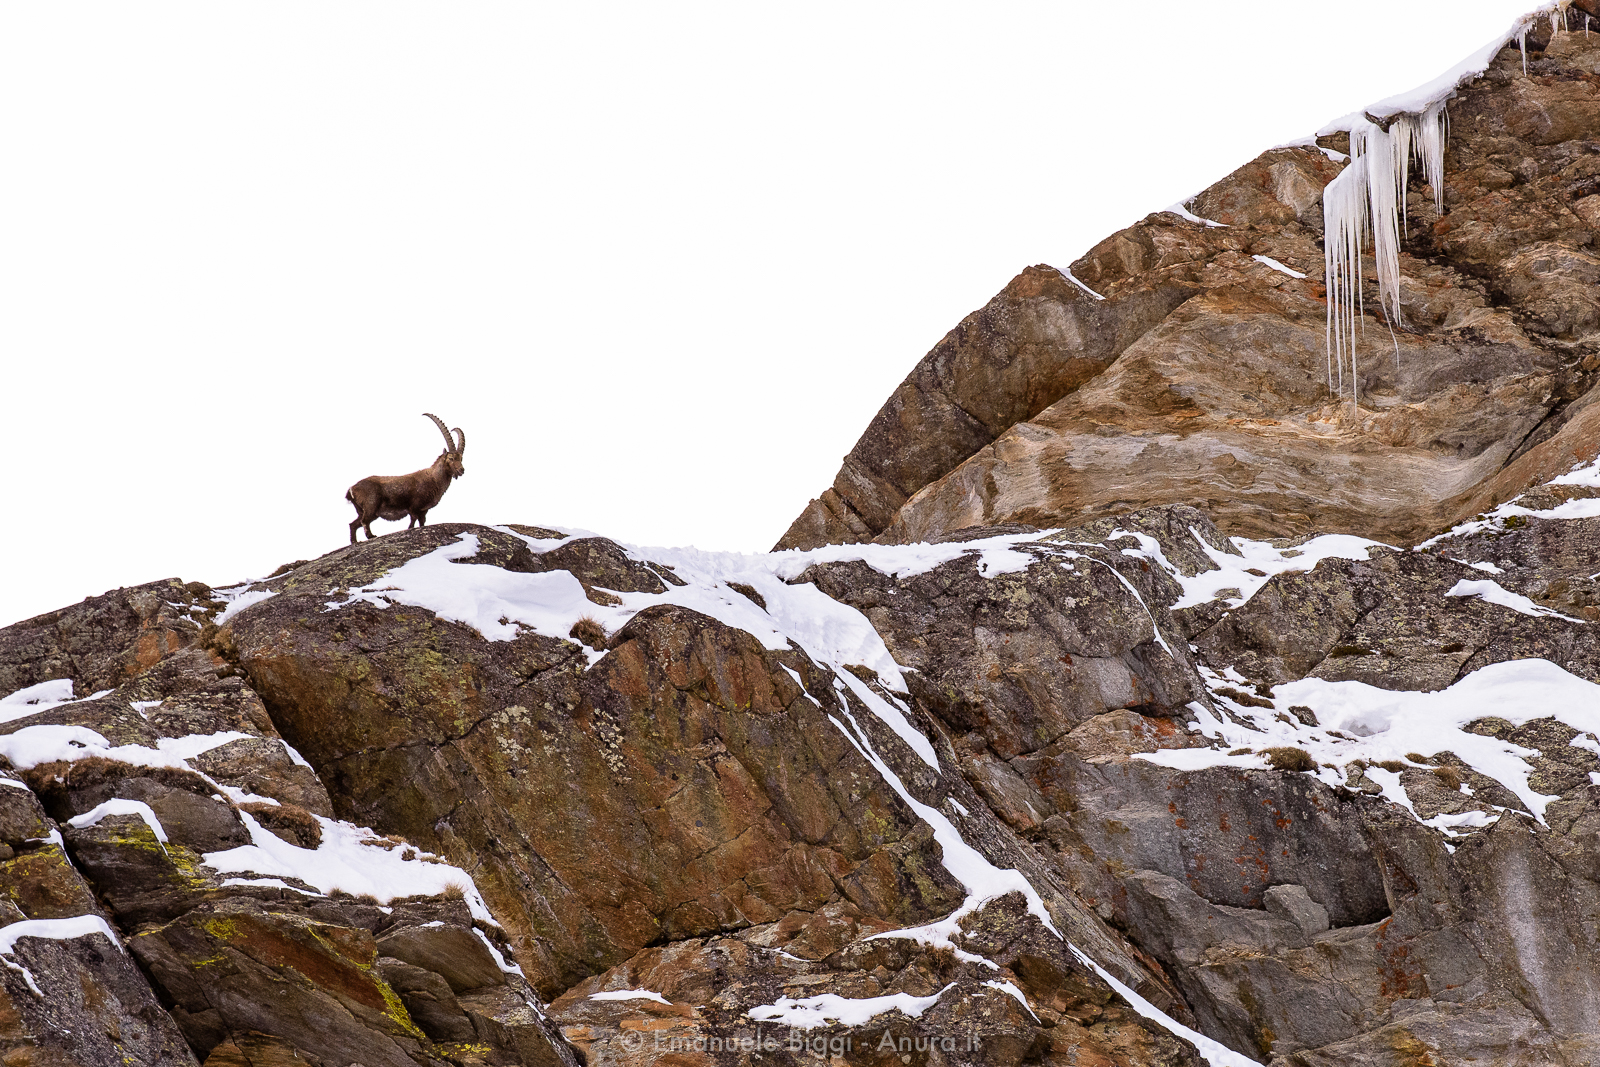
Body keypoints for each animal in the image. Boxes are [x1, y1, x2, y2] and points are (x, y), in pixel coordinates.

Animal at [346, 413, 466, 544]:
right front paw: (410, 530)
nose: (461, 470)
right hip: (371, 506)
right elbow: (412, 521)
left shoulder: (423, 510)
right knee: (364, 521)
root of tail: (352, 489)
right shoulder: (414, 506)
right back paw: (371, 536)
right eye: (451, 458)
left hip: (363, 511)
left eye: (461, 458)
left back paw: (354, 542)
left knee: (353, 524)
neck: (434, 478)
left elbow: (422, 523)